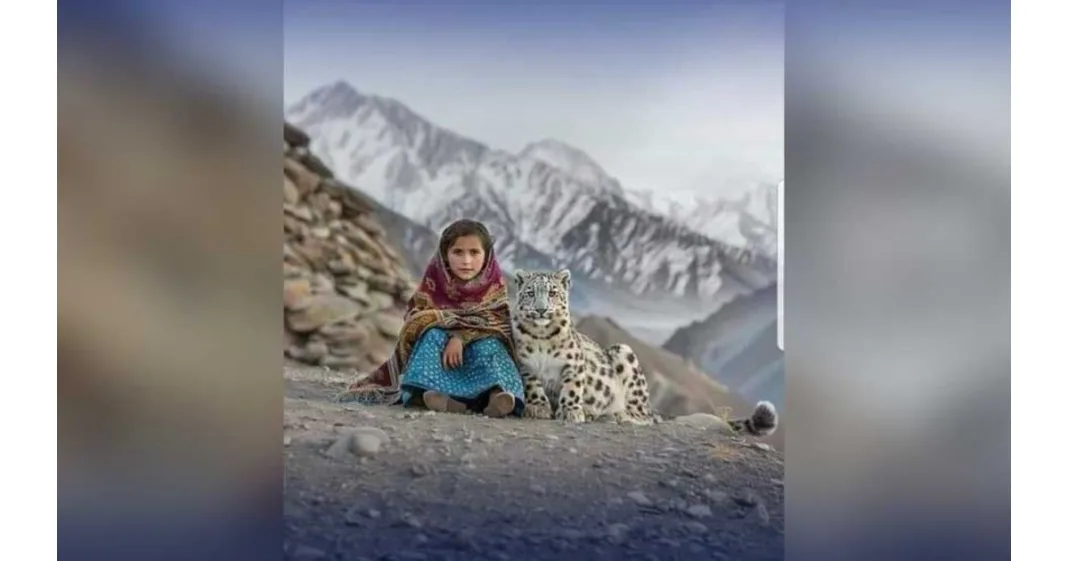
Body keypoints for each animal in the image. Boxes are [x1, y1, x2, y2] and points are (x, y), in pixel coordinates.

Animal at [510, 268, 780, 437]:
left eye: (552, 292)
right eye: (531, 293)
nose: (541, 309)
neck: (542, 338)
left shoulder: (573, 364)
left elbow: (572, 388)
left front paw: (571, 411)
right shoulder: (525, 365)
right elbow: (534, 385)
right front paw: (539, 407)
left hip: (625, 355)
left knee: (643, 416)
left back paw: (616, 415)